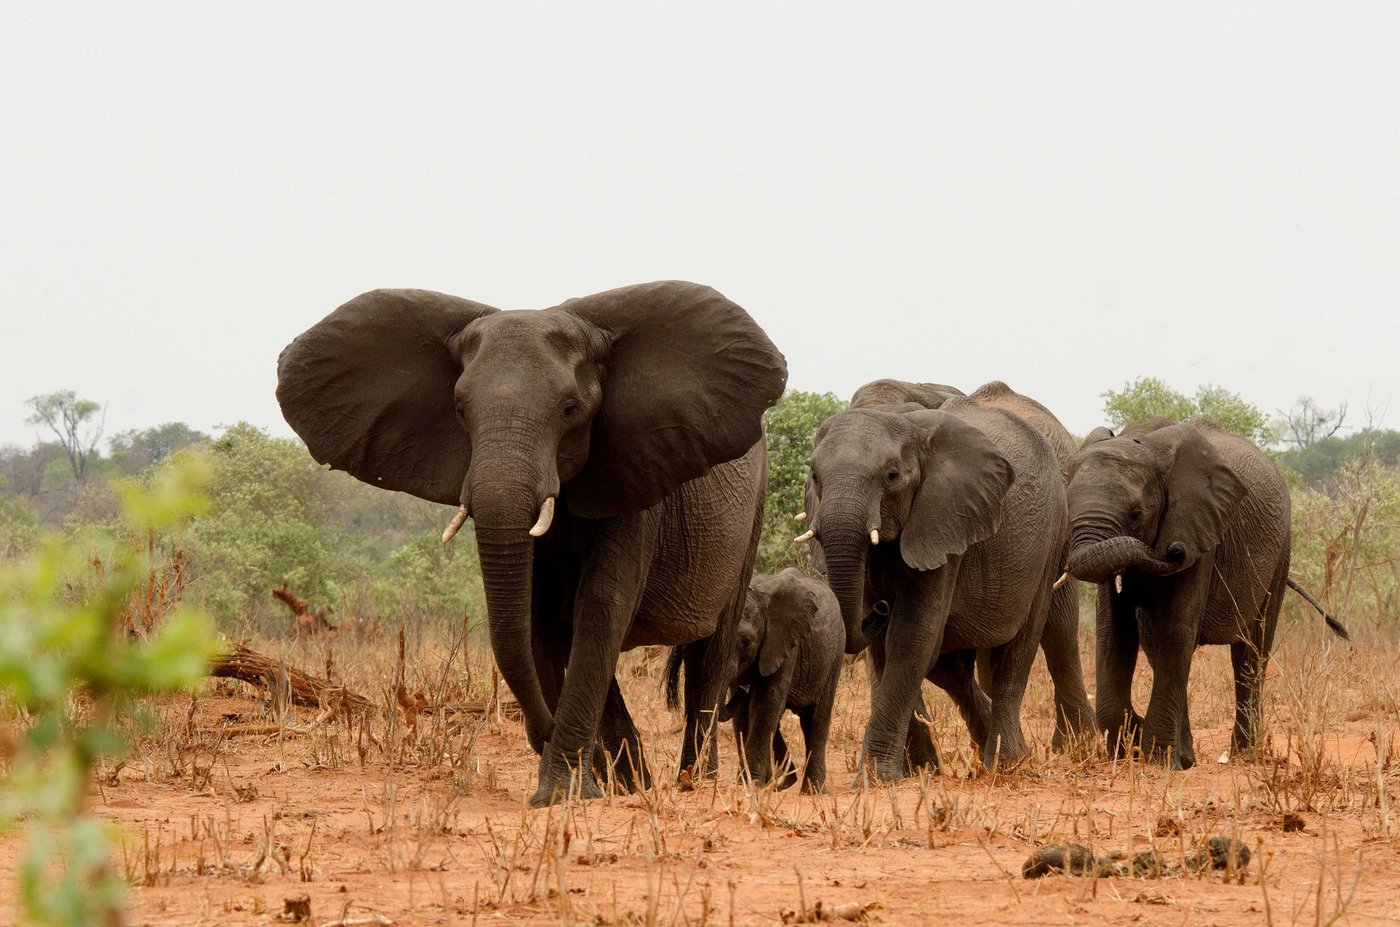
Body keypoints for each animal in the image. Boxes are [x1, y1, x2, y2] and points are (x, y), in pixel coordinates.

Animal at [276, 281, 787, 806]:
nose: (540, 734)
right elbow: (540, 619)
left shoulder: (633, 482)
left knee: (709, 657)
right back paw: (633, 786)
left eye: (570, 409)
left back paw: (692, 783)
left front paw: (562, 794)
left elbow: (600, 607)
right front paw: (576, 788)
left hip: (752, 516)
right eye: (460, 409)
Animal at [669, 568, 844, 793]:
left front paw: (752, 783)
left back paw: (813, 791)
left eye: (746, 642)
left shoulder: (785, 643)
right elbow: (744, 714)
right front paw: (749, 783)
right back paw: (782, 783)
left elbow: (766, 701)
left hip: (835, 653)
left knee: (815, 719)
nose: (744, 688)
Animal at [804, 387, 1069, 779]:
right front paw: (913, 774)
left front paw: (876, 778)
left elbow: (911, 634)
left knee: (1016, 650)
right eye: (814, 475)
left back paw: (1004, 763)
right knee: (949, 668)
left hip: (1051, 539)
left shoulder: (945, 518)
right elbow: (887, 649)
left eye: (892, 475)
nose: (880, 607)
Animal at [1060, 417, 1347, 768]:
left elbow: (1177, 630)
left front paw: (1156, 759)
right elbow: (1116, 633)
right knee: (1157, 646)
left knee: (1251, 652)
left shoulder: (1200, 530)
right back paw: (1187, 758)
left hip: (1282, 551)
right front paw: (1131, 747)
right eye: (1068, 509)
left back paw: (1242, 755)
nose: (1174, 550)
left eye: (1136, 514)